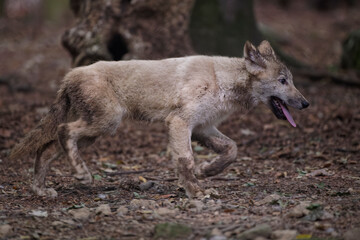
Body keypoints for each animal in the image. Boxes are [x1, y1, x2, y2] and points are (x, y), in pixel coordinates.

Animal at [10, 40, 310, 199]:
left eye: (291, 80)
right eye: (283, 81)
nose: (306, 103)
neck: (221, 79)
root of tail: (69, 75)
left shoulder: (202, 127)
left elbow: (232, 150)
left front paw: (206, 171)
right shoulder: (179, 122)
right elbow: (185, 159)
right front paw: (195, 191)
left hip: (97, 132)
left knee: (47, 149)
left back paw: (41, 191)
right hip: (106, 124)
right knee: (63, 131)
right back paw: (82, 175)